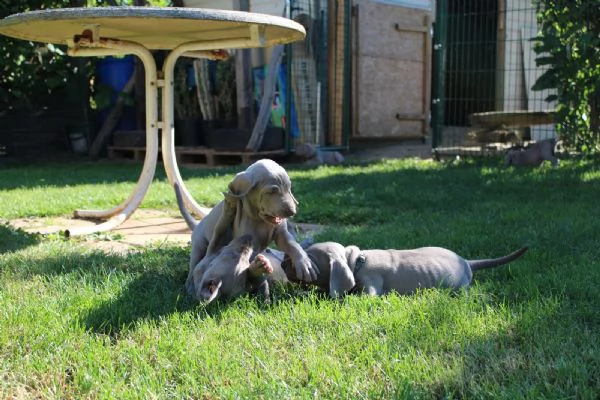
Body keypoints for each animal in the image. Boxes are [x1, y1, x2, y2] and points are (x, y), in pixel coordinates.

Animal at [176, 159, 316, 296]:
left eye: (288, 188)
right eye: (272, 191)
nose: (292, 212)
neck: (260, 219)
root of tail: (198, 223)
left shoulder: (281, 233)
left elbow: (293, 245)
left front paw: (305, 264)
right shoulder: (246, 241)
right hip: (199, 245)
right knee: (194, 266)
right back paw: (190, 287)